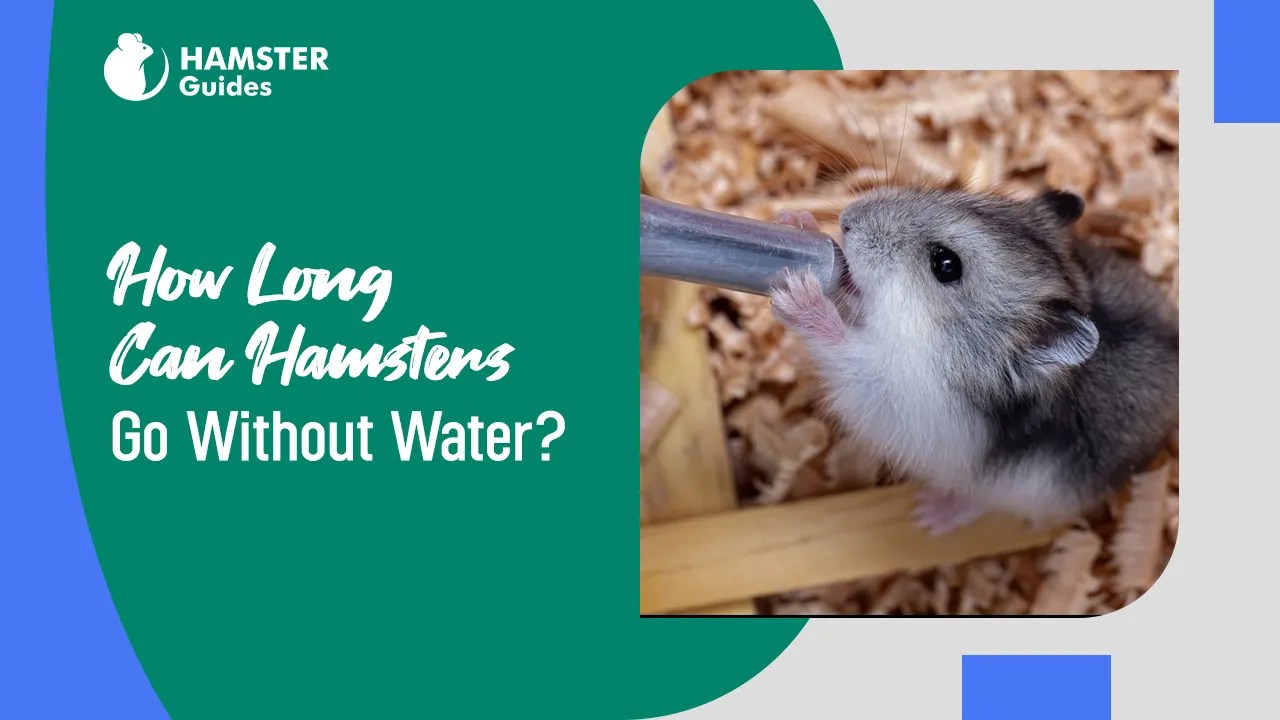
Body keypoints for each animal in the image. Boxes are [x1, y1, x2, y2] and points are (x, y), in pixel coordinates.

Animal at [769, 188, 1178, 534]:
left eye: (945, 264)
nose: (847, 220)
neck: (937, 337)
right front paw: (796, 221)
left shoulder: (896, 391)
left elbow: (846, 352)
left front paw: (798, 296)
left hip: (1027, 490)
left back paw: (930, 514)